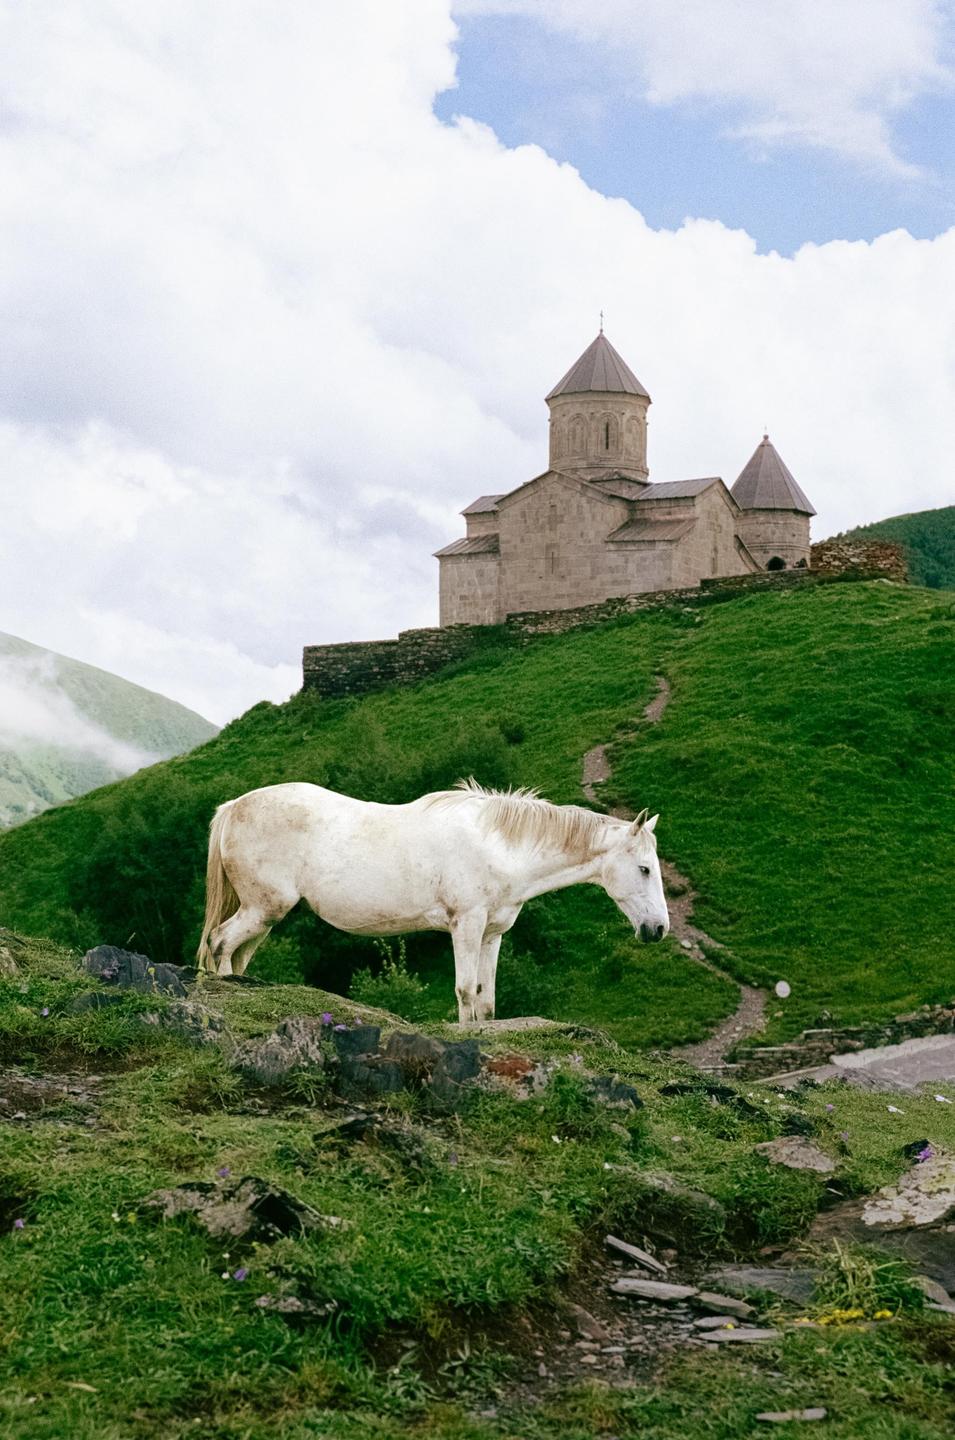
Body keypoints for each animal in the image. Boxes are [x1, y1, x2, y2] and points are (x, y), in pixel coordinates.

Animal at [197, 778, 669, 1023]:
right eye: (645, 868)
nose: (659, 929)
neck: (499, 847)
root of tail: (233, 807)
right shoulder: (466, 926)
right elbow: (464, 991)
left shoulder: (492, 935)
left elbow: (485, 999)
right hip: (263, 909)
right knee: (220, 944)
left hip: (265, 916)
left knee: (235, 953)